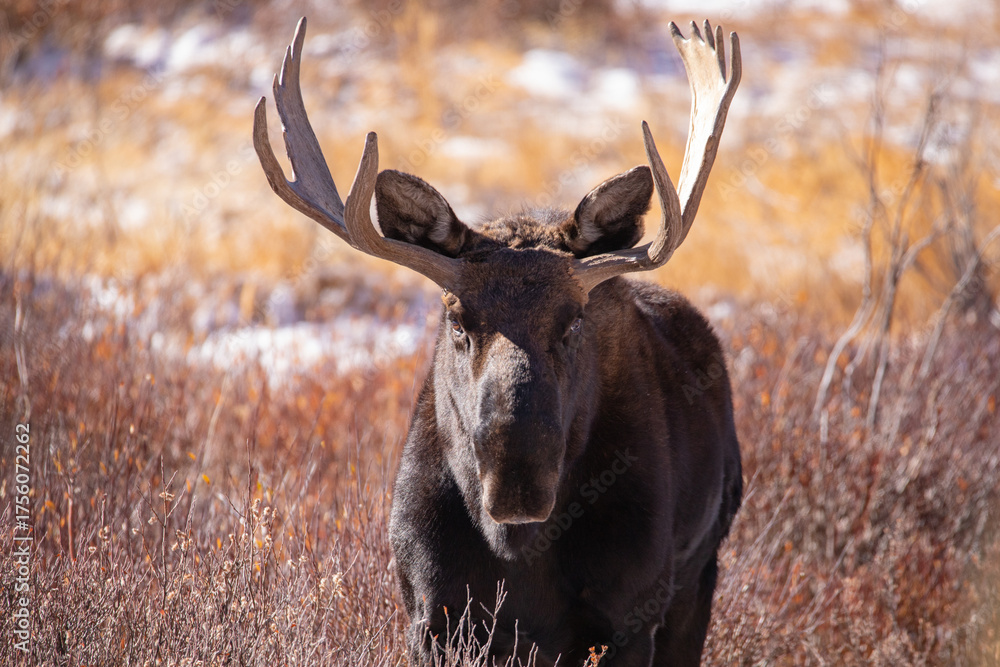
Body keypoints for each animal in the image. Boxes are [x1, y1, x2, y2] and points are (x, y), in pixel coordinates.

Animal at [253, 17, 743, 666]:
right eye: (458, 321)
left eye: (575, 321)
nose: (517, 482)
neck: (519, 553)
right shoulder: (430, 613)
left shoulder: (632, 613)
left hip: (699, 573)